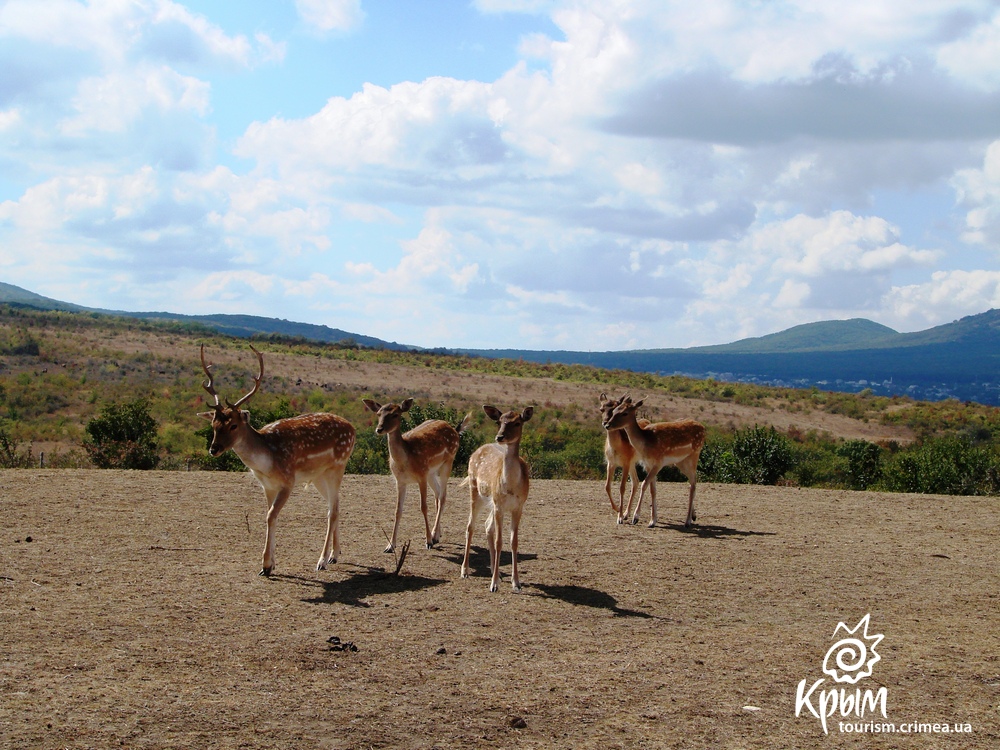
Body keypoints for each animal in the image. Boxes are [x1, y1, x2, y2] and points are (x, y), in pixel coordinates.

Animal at [198, 344, 356, 580]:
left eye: (233, 425)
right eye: (214, 424)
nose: (213, 449)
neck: (267, 462)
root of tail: (353, 429)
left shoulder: (288, 481)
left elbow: (271, 516)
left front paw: (265, 565)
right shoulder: (267, 486)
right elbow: (269, 515)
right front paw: (271, 564)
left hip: (337, 466)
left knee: (333, 510)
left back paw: (321, 561)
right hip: (318, 475)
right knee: (335, 504)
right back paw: (334, 555)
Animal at [362, 400, 470, 552]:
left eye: (395, 414)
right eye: (378, 414)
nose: (379, 429)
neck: (405, 461)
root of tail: (454, 429)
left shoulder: (421, 476)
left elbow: (423, 507)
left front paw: (428, 542)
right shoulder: (400, 481)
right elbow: (397, 510)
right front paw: (390, 545)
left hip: (447, 462)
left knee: (443, 496)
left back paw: (434, 536)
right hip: (431, 472)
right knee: (437, 494)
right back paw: (437, 534)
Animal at [462, 406, 536, 592]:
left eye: (517, 422)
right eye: (499, 421)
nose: (500, 437)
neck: (511, 486)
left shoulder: (518, 506)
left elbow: (513, 541)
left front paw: (516, 583)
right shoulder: (499, 506)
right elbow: (499, 541)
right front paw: (493, 585)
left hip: (491, 501)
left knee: (487, 526)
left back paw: (498, 574)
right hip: (475, 490)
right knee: (470, 526)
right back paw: (465, 570)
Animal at [600, 400, 704, 528]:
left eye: (624, 413)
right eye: (615, 410)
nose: (607, 425)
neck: (646, 442)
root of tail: (703, 428)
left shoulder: (658, 462)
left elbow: (644, 484)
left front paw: (636, 518)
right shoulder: (648, 464)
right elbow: (652, 489)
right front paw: (652, 521)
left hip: (694, 455)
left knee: (693, 483)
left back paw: (688, 521)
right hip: (681, 462)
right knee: (692, 482)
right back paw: (693, 516)